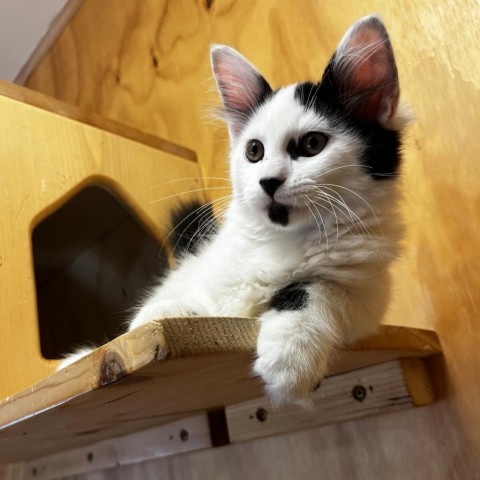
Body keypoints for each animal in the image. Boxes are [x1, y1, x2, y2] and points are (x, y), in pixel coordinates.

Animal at [62, 14, 408, 404]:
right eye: (254, 151)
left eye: (312, 144)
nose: (268, 182)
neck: (282, 241)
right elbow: (158, 317)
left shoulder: (368, 290)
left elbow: (318, 287)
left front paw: (291, 354)